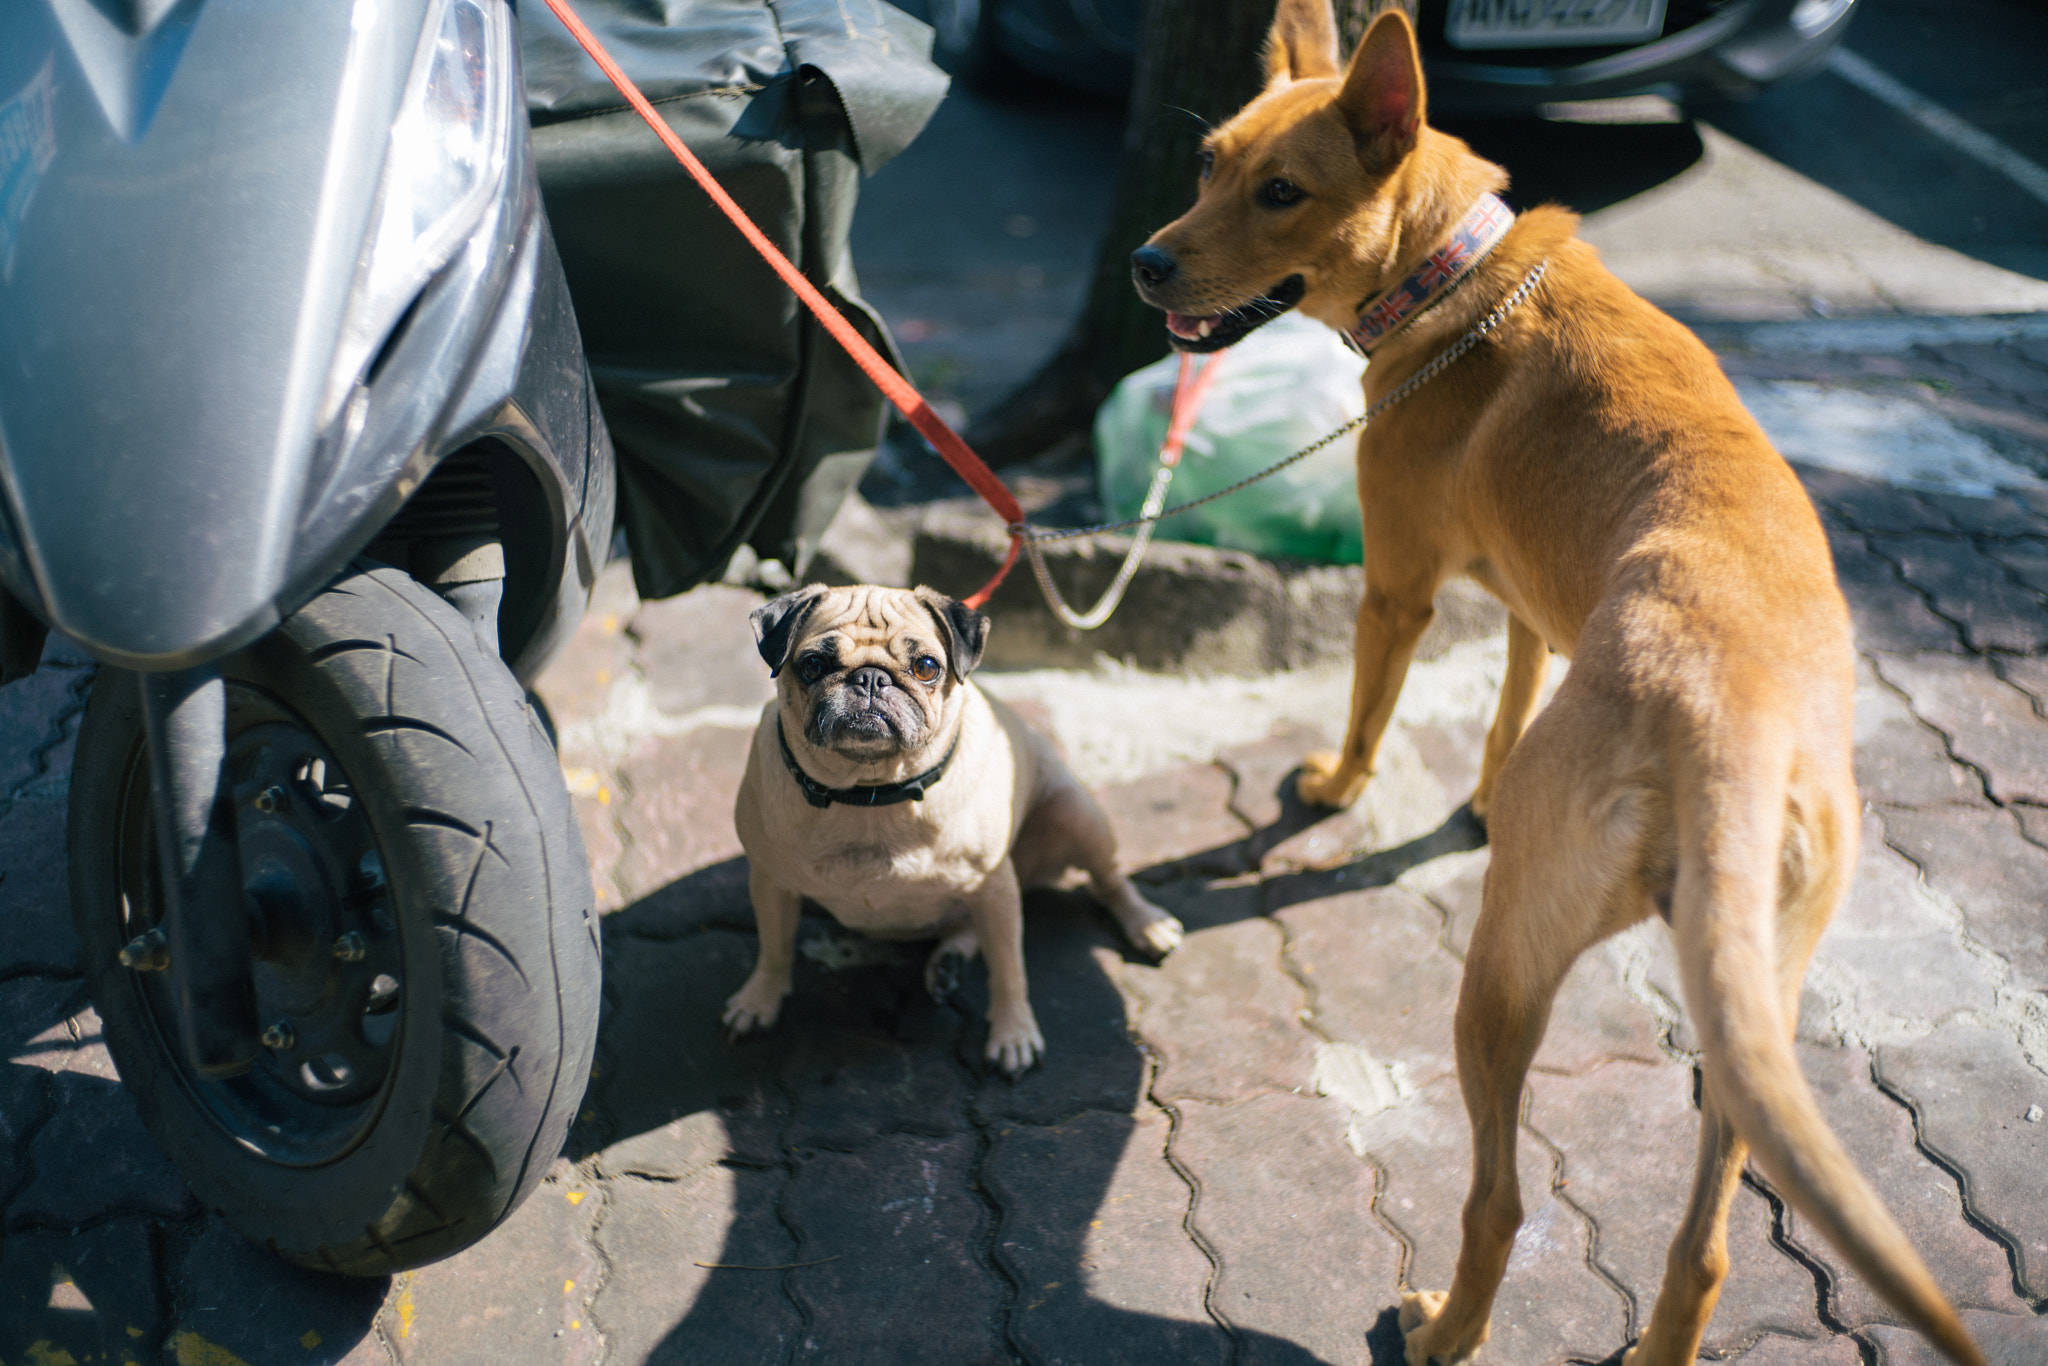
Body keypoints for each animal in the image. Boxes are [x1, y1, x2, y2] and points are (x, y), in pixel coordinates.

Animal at [1138, 10, 1982, 1366]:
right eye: (1208, 161)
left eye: (1280, 192)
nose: (1143, 267)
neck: (1454, 280)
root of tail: (1726, 720)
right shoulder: (1532, 609)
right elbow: (1502, 712)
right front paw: (1477, 792)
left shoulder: (1397, 591)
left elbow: (1368, 719)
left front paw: (1330, 786)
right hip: (1748, 1022)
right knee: (1702, 1248)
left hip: (1499, 977)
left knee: (1499, 1196)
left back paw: (1441, 1327)